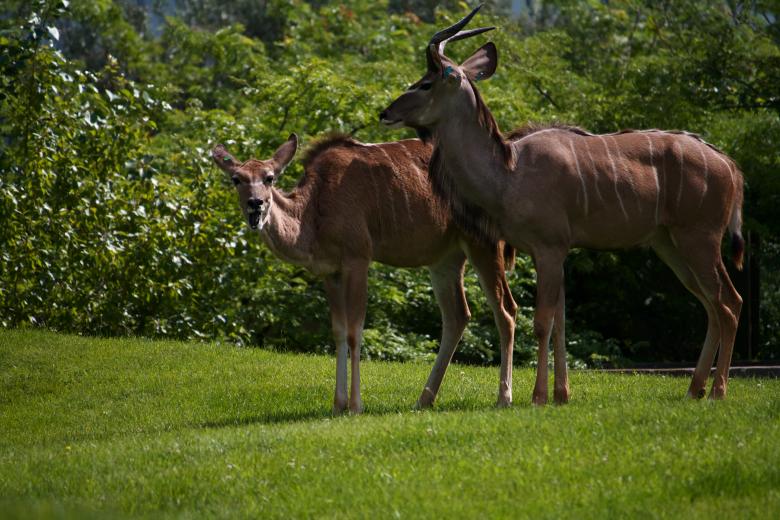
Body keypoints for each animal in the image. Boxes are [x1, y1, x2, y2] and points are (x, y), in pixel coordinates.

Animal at [211, 133, 518, 414]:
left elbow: (354, 331)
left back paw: (504, 397)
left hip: (483, 242)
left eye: (270, 177)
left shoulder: (358, 256)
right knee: (458, 315)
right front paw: (337, 404)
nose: (256, 203)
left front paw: (356, 405)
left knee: (506, 309)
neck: (313, 221)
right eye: (236, 179)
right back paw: (424, 399)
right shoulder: (330, 270)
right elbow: (337, 330)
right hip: (445, 256)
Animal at [379, 4, 745, 404]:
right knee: (712, 305)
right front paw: (561, 394)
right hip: (670, 245)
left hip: (700, 239)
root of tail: (730, 166)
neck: (508, 172)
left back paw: (718, 391)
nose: (386, 113)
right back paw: (695, 388)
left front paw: (539, 396)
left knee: (730, 303)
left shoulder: (550, 247)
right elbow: (560, 322)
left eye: (426, 83)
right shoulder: (554, 251)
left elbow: (542, 322)